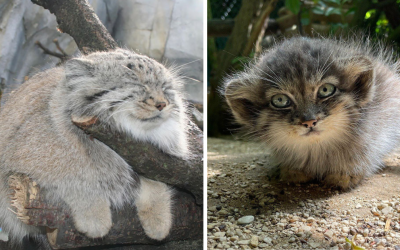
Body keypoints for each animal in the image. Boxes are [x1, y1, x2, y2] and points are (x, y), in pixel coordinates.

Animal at [223, 36, 400, 189]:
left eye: (325, 90)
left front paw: (347, 171)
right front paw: (293, 169)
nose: (309, 121)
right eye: (280, 100)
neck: (317, 149)